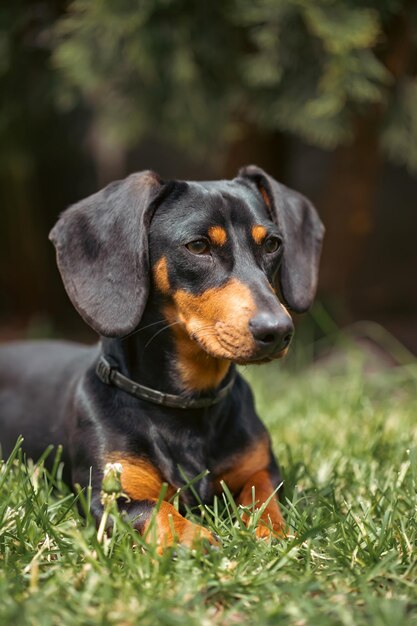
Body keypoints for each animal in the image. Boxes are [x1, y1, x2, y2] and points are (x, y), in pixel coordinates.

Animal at [0, 165, 324, 544]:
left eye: (272, 244)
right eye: (198, 246)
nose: (277, 331)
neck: (184, 407)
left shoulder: (261, 469)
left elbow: (262, 498)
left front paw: (272, 532)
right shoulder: (110, 495)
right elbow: (161, 511)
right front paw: (195, 542)